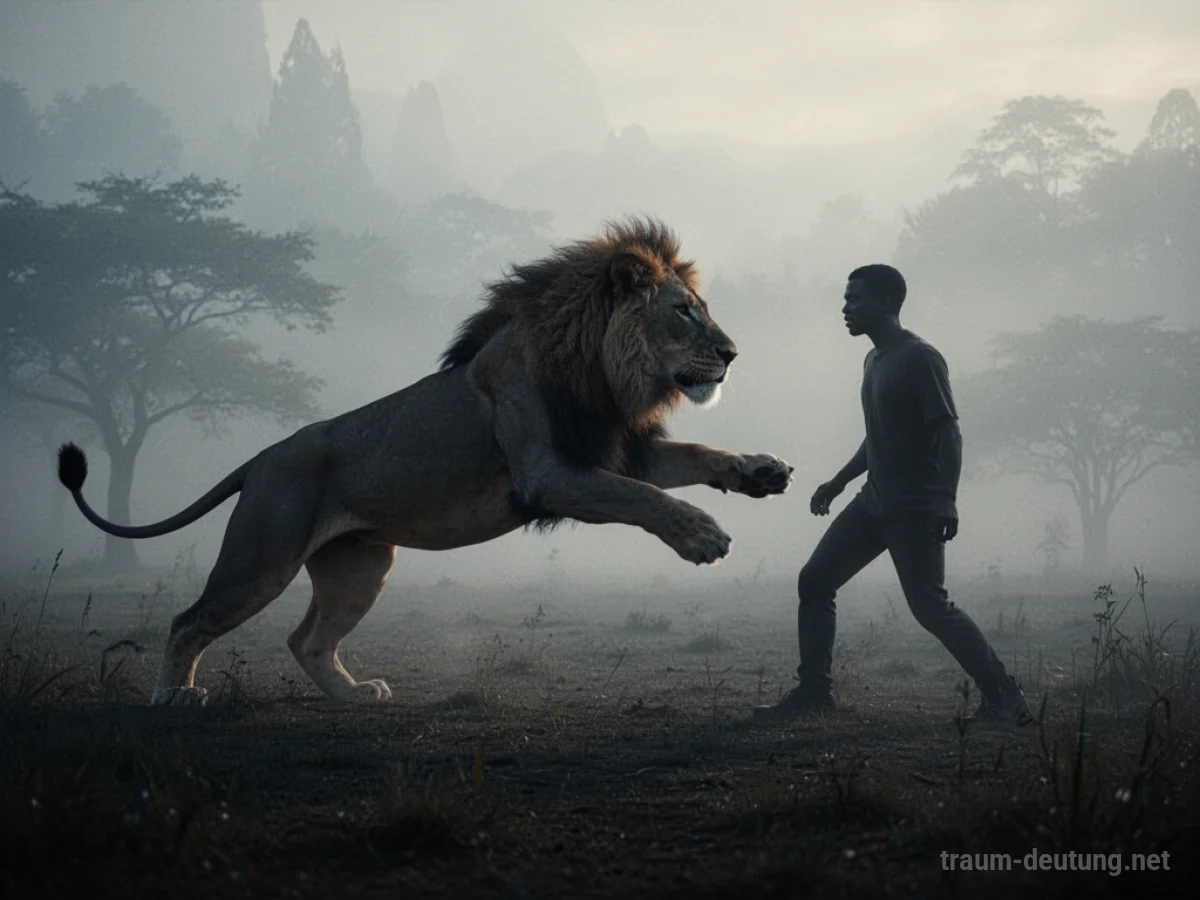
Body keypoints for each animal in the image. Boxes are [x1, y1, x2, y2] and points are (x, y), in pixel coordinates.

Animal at [56, 217, 794, 706]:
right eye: (684, 313)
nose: (731, 354)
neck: (602, 372)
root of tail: (261, 456)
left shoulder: (613, 447)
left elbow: (692, 457)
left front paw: (758, 471)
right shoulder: (549, 475)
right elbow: (642, 497)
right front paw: (703, 537)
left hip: (362, 565)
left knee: (305, 640)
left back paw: (355, 694)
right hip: (260, 559)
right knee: (189, 621)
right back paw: (174, 697)